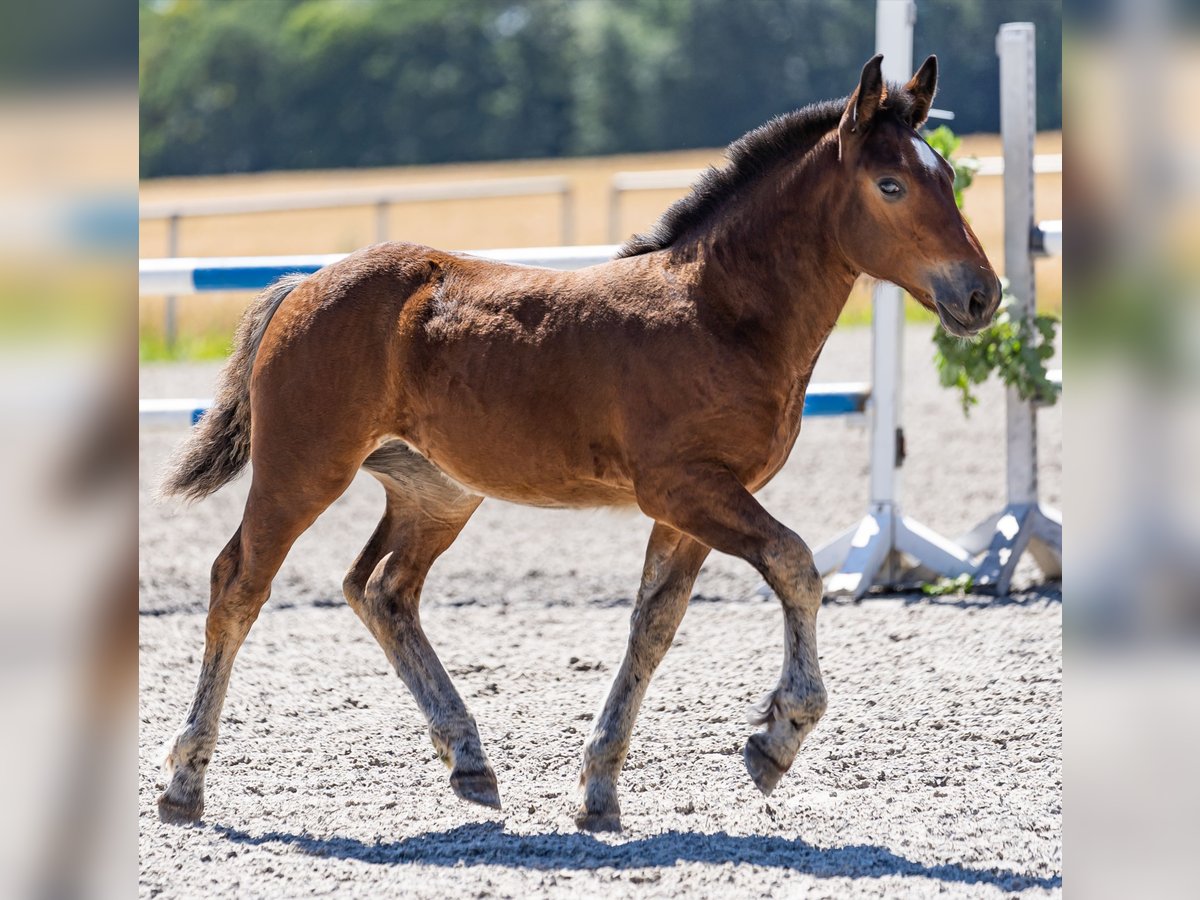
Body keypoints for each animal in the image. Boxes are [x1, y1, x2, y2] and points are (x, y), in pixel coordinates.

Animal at [154, 54, 998, 830]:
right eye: (891, 186)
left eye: (945, 176)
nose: (981, 294)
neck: (719, 312)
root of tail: (303, 283)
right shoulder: (686, 487)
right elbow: (794, 566)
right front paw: (777, 737)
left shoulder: (692, 507)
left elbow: (654, 625)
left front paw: (599, 788)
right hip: (303, 469)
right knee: (239, 583)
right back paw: (185, 783)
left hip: (436, 491)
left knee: (382, 588)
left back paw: (469, 760)